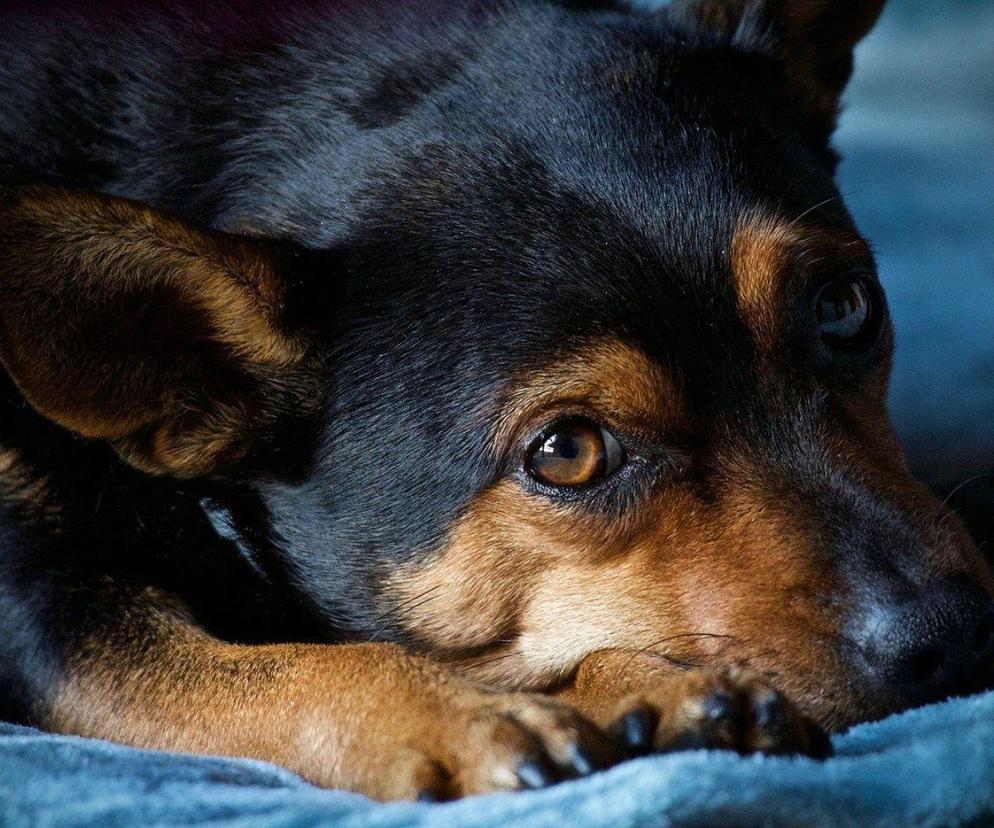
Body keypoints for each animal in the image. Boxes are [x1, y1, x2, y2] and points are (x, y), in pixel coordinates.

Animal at [1, 0, 992, 804]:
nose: (955, 632)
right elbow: (282, 667)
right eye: (567, 452)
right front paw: (462, 717)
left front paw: (646, 690)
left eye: (845, 309)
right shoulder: (42, 617)